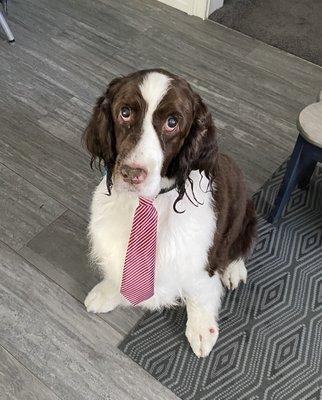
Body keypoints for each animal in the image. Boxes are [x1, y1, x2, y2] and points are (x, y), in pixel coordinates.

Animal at [83, 69, 256, 360]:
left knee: (240, 244)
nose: (131, 173)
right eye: (125, 112)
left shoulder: (200, 256)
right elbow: (120, 269)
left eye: (172, 122)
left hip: (245, 211)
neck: (150, 202)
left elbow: (200, 291)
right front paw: (108, 292)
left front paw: (201, 328)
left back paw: (234, 270)